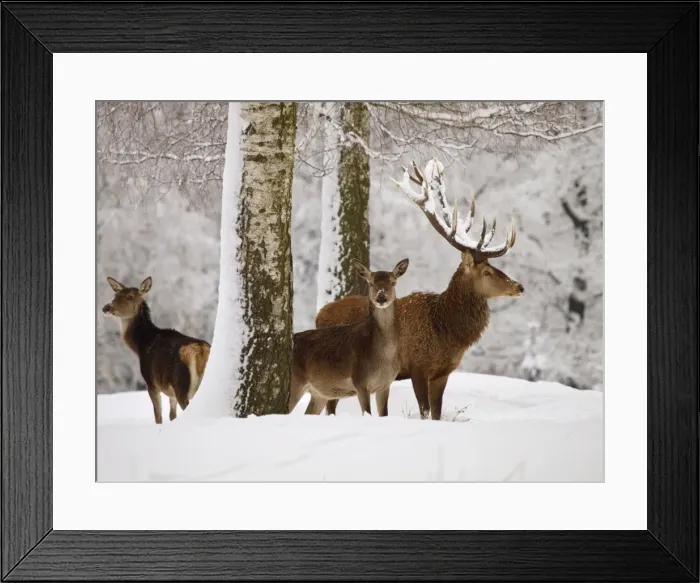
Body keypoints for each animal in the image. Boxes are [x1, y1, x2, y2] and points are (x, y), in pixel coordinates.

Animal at [102, 276, 211, 424]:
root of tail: (200, 352)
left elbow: (158, 417)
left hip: (182, 385)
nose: (106, 307)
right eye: (115, 295)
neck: (141, 346)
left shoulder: (151, 382)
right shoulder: (171, 392)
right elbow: (172, 416)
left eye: (130, 296)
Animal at [288, 258, 409, 416]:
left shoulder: (385, 384)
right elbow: (367, 413)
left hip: (319, 393)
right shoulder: (360, 381)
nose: (381, 298)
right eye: (371, 283)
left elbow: (384, 414)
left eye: (393, 282)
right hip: (294, 382)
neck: (382, 358)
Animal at [316, 158, 524, 421]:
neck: (446, 332)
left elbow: (436, 414)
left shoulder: (442, 373)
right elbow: (424, 412)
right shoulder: (418, 366)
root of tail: (318, 315)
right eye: (486, 271)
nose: (519, 286)